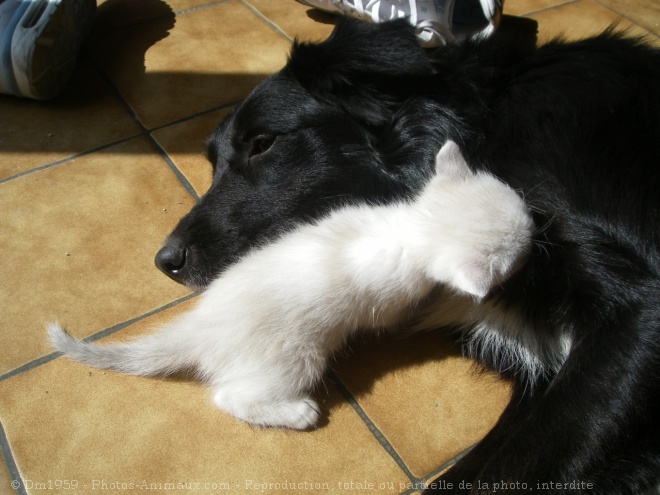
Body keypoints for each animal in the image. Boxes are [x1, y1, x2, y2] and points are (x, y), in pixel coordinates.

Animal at [47, 140, 532, 430]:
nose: (537, 233)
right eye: (521, 251)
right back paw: (297, 412)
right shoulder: (390, 300)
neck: (409, 225)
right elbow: (403, 313)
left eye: (525, 214)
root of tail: (200, 326)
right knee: (229, 396)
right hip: (293, 358)